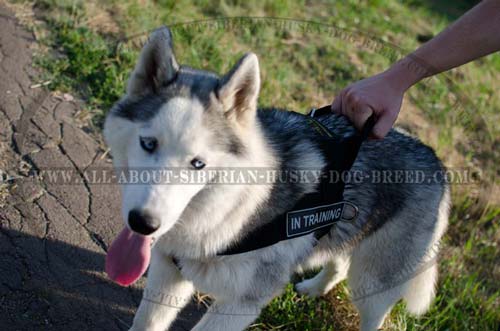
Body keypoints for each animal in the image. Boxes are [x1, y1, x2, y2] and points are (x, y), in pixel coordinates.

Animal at [103, 26, 452, 331]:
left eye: (198, 164)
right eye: (148, 144)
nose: (143, 223)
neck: (230, 212)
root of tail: (436, 161)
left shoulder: (240, 304)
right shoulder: (168, 273)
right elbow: (146, 323)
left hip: (373, 280)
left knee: (372, 312)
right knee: (338, 261)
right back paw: (314, 288)